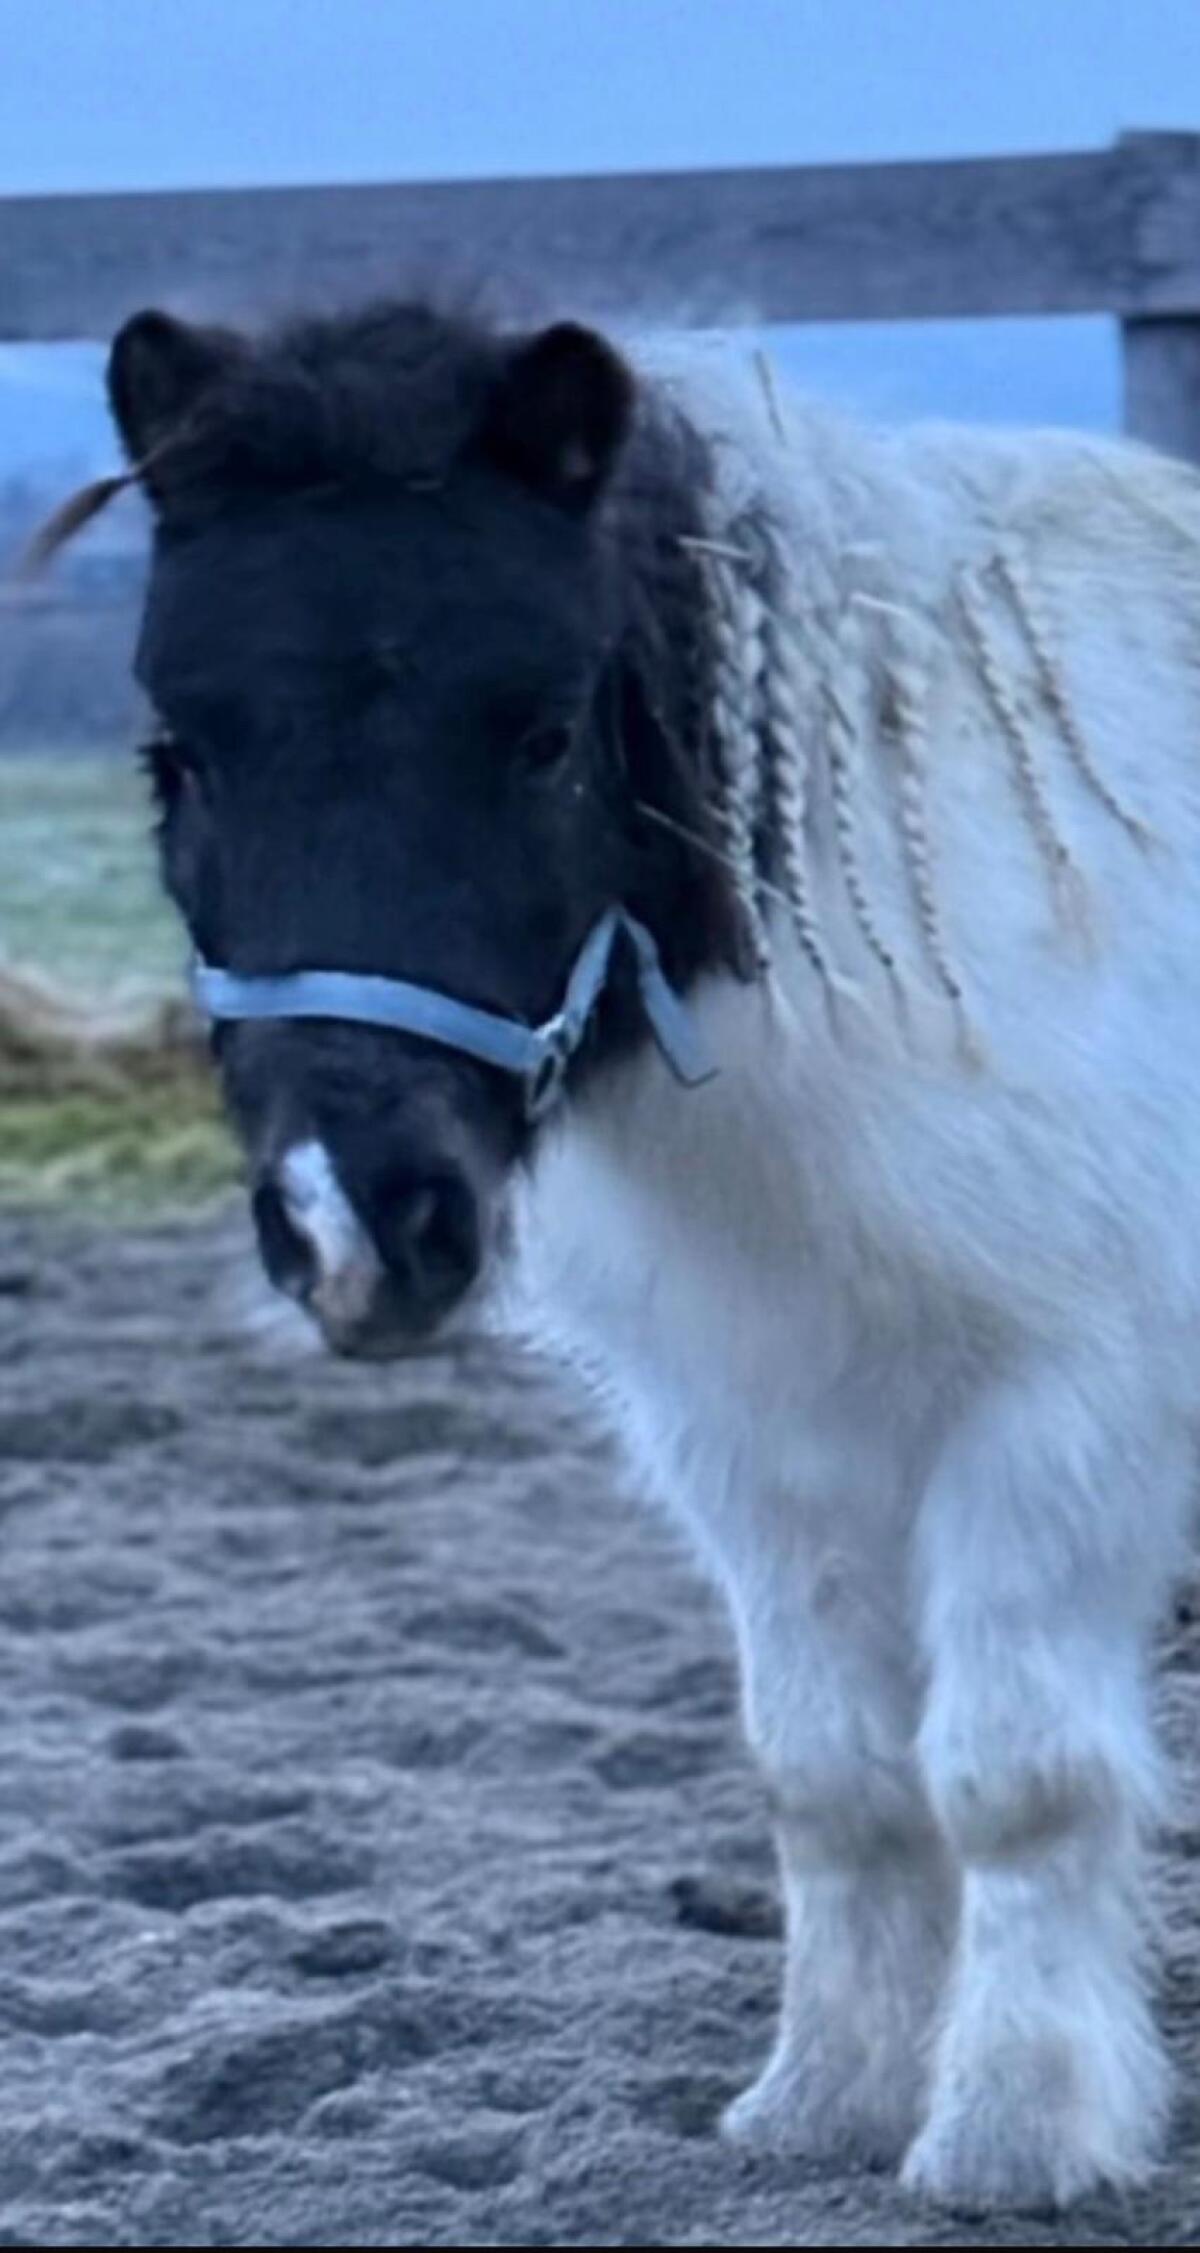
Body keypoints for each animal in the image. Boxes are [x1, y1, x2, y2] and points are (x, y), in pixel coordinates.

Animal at [77, 295, 1200, 2211]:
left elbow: (1018, 1775)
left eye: (538, 736)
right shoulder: (755, 1434)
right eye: (183, 755)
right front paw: (825, 2100)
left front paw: (1014, 2127)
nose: (356, 1224)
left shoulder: (1066, 1412)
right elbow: (831, 1773)